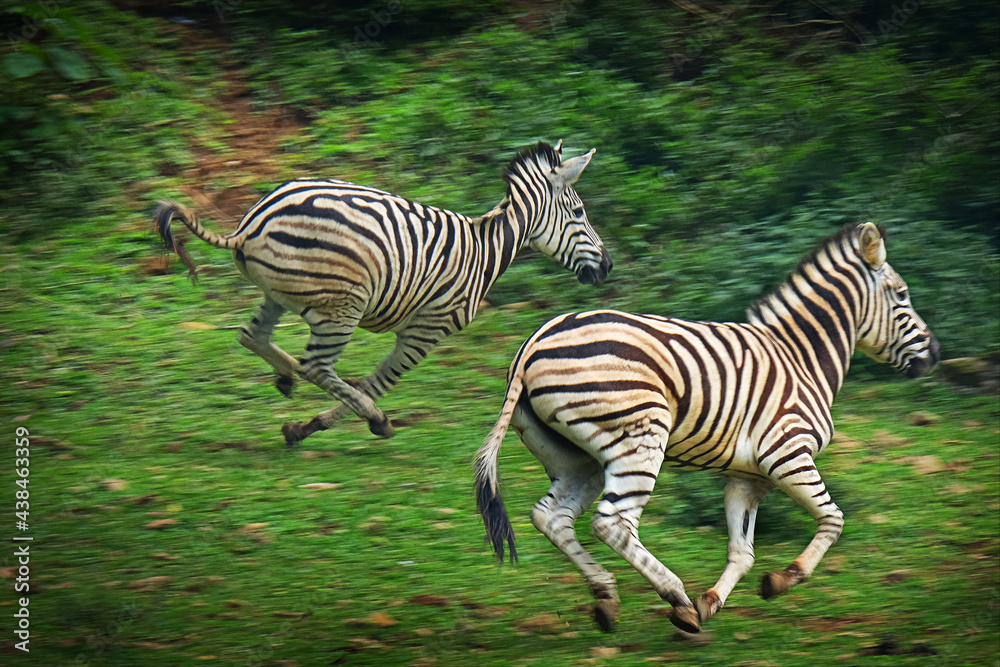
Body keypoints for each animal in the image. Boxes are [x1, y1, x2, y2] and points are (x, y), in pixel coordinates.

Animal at [155, 141, 612, 446]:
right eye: (579, 213)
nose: (607, 266)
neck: (488, 249)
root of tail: (251, 223)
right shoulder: (426, 331)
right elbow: (380, 381)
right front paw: (333, 423)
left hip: (282, 294)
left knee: (253, 337)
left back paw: (284, 374)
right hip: (344, 304)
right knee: (315, 367)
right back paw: (345, 411)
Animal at [475, 222, 938, 634]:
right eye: (902, 296)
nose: (934, 355)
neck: (802, 358)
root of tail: (535, 341)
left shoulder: (747, 478)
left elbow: (743, 551)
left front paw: (714, 601)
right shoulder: (787, 453)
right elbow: (833, 519)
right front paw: (783, 580)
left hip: (578, 458)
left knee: (551, 517)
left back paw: (607, 598)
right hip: (640, 437)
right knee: (612, 523)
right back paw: (676, 598)